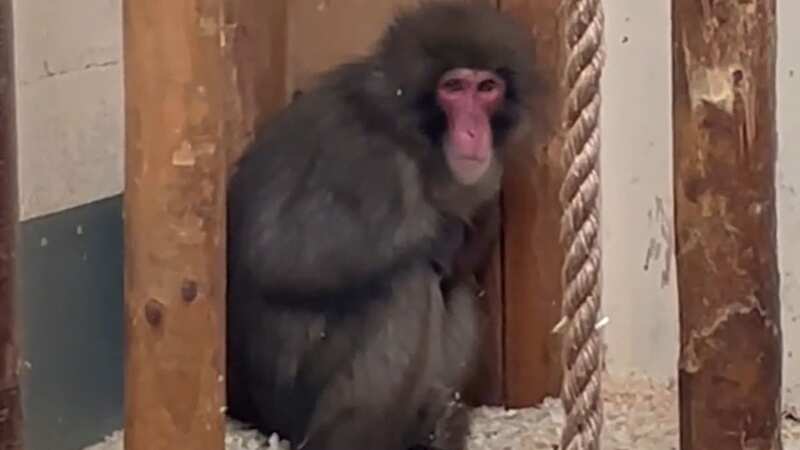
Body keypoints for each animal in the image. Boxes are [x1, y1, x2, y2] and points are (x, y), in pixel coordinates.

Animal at [225, 2, 537, 449]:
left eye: (487, 88)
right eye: (454, 87)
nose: (473, 131)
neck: (415, 133)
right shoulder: (372, 163)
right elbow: (282, 254)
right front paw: (439, 231)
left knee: (455, 285)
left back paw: (434, 425)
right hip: (290, 399)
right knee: (407, 283)